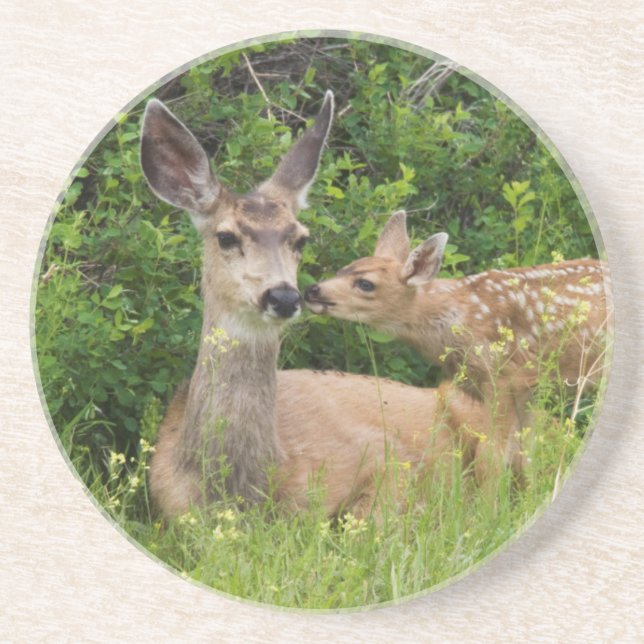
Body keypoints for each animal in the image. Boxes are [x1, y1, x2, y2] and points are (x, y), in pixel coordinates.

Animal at [304, 210, 611, 481]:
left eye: (365, 283)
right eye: (343, 269)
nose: (311, 290)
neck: (460, 318)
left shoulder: (504, 375)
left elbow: (492, 457)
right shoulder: (528, 389)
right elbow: (526, 457)